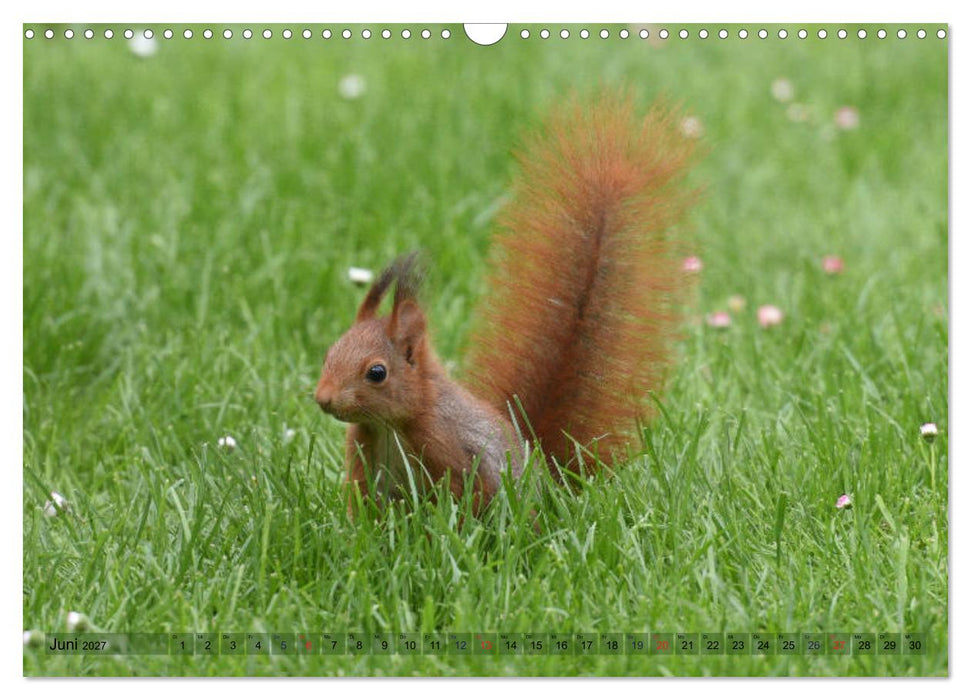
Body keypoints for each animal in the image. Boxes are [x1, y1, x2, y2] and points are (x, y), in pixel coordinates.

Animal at [315, 92, 698, 516]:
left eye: (377, 373)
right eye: (329, 353)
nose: (323, 399)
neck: (391, 425)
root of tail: (549, 479)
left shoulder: (449, 447)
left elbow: (464, 496)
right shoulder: (365, 459)